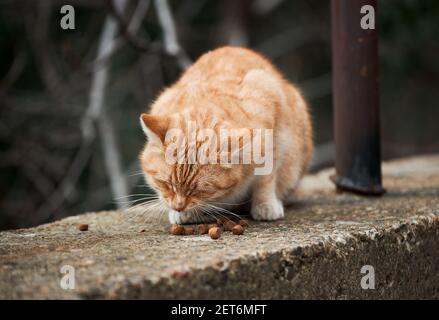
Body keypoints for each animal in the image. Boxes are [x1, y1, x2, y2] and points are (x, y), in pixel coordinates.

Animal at [139, 46, 314, 224]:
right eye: (166, 184)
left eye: (199, 190)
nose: (178, 207)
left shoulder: (271, 130)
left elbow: (265, 178)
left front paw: (265, 205)